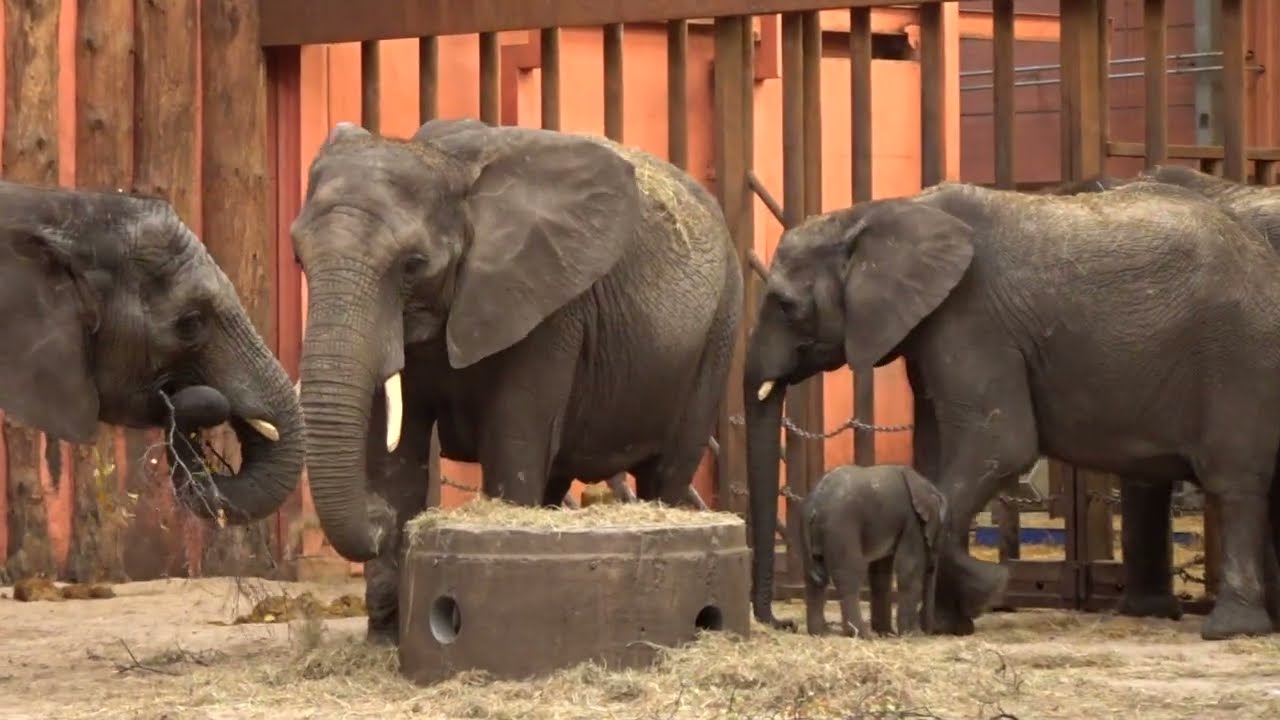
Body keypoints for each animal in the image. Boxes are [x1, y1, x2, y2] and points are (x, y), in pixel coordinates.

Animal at [291, 119, 743, 643]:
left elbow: (512, 446)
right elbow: (394, 460)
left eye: (413, 265)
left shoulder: (549, 309)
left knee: (666, 471)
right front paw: (387, 639)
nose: (378, 518)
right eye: (298, 258)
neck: (449, 167)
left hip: (718, 329)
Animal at [799, 464, 946, 638]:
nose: (928, 632)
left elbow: (880, 573)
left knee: (815, 575)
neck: (926, 485)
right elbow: (909, 568)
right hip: (840, 527)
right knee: (849, 574)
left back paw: (820, 633)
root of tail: (815, 503)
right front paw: (912, 635)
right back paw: (862, 634)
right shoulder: (912, 521)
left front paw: (887, 633)